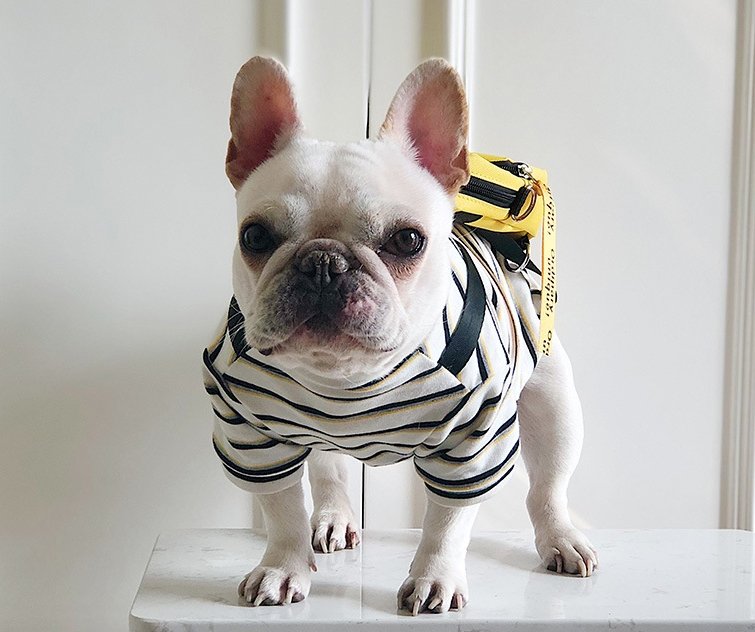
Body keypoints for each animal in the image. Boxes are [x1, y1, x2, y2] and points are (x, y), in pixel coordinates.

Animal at [201, 56, 598, 615]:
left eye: (407, 240)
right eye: (254, 236)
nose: (324, 264)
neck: (346, 379)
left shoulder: (473, 445)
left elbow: (447, 524)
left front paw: (435, 578)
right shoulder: (251, 435)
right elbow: (281, 512)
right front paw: (282, 568)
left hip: (555, 405)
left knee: (548, 486)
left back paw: (561, 539)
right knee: (328, 470)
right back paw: (334, 518)